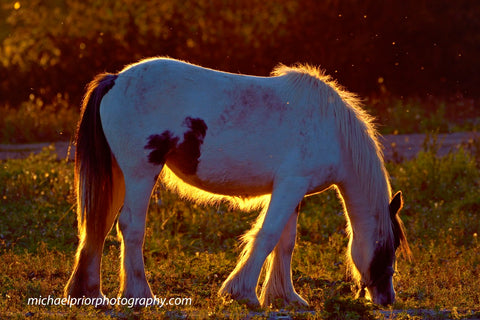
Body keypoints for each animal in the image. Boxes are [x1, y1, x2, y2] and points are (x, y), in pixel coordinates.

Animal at [62, 57, 408, 308]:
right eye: (389, 246)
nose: (387, 299)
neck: (331, 129)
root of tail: (116, 79)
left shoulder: (293, 190)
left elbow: (286, 242)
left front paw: (285, 297)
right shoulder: (290, 185)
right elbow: (267, 236)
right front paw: (242, 293)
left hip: (119, 175)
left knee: (98, 225)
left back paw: (88, 293)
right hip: (139, 174)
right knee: (131, 227)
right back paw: (140, 295)